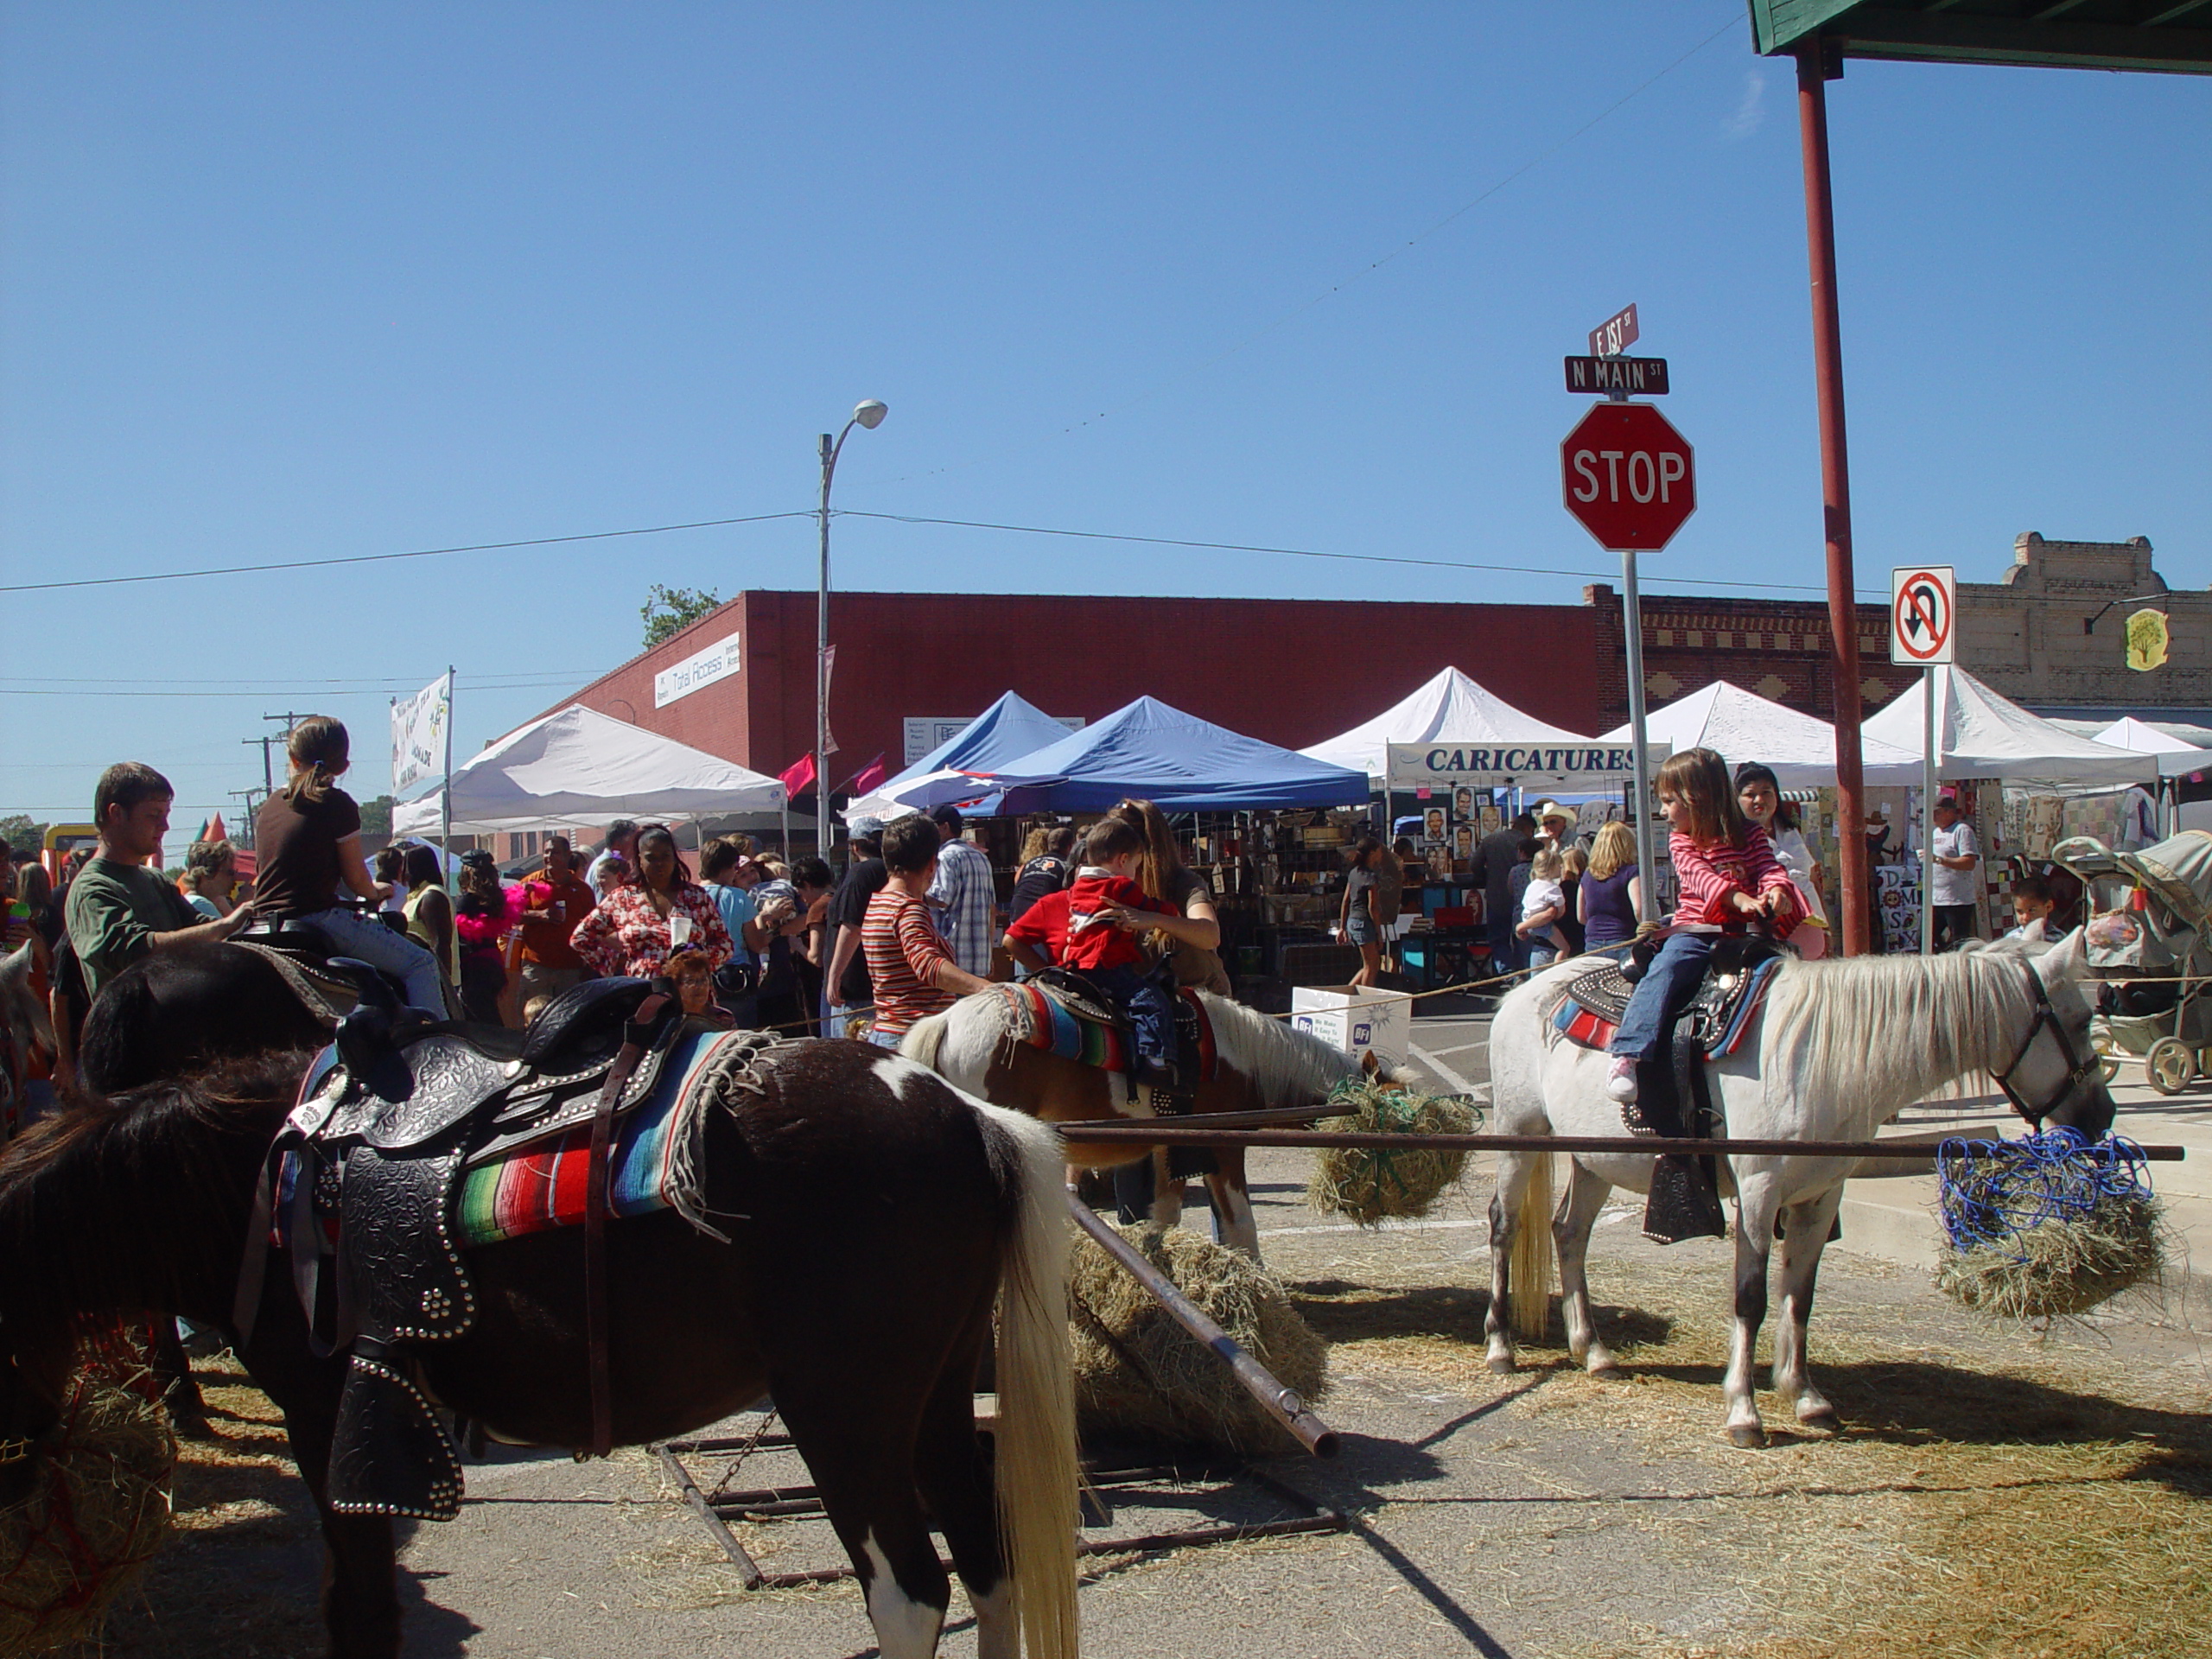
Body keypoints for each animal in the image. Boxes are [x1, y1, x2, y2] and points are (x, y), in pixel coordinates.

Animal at [0, 1026, 1071, 1659]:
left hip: (844, 1418)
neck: (257, 1172)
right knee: (990, 1568)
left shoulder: (324, 1416)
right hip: (933, 1404)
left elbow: (359, 1605)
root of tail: (962, 1113)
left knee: (910, 1593)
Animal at [1486, 929, 2106, 1451]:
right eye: (2078, 1020)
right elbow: (1751, 1297)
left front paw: (1806, 1396)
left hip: (1596, 1157)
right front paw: (1743, 1411)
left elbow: (1799, 1296)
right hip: (1522, 1135)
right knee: (1505, 1227)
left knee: (1569, 1232)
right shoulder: (1760, 1191)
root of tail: (1521, 996)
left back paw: (1592, 1350)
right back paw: (1501, 1346)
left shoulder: (1821, 1196)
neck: (1819, 1058)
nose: (2098, 1117)